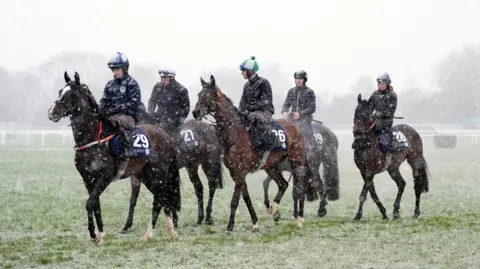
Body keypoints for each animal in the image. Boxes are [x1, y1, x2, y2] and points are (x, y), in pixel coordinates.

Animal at [46, 70, 181, 241]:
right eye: (60, 92)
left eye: (72, 95)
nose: (52, 112)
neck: (93, 139)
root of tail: (167, 137)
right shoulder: (87, 179)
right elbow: (95, 204)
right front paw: (101, 234)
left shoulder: (105, 176)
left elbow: (89, 203)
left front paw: (93, 234)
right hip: (144, 174)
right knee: (162, 198)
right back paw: (169, 232)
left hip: (158, 173)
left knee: (160, 199)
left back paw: (150, 234)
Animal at [191, 74, 308, 231]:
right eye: (199, 94)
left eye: (208, 95)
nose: (195, 112)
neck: (234, 134)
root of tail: (295, 127)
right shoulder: (235, 173)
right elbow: (246, 198)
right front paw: (255, 223)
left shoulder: (240, 173)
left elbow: (235, 200)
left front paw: (230, 227)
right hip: (271, 166)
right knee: (283, 184)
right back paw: (274, 210)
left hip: (297, 163)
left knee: (300, 189)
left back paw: (299, 219)